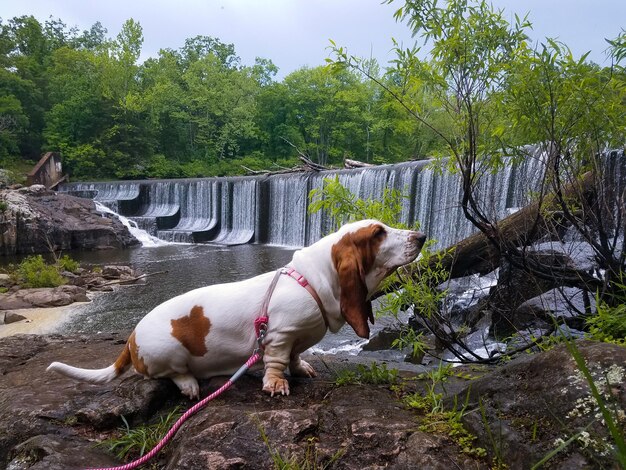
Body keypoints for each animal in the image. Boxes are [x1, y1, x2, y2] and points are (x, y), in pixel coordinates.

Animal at [47, 222, 424, 398]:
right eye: (378, 233)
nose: (421, 236)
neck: (313, 280)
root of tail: (130, 340)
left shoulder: (296, 340)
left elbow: (296, 356)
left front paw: (302, 368)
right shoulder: (278, 335)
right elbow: (277, 361)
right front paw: (276, 384)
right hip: (167, 354)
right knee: (167, 374)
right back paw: (189, 385)